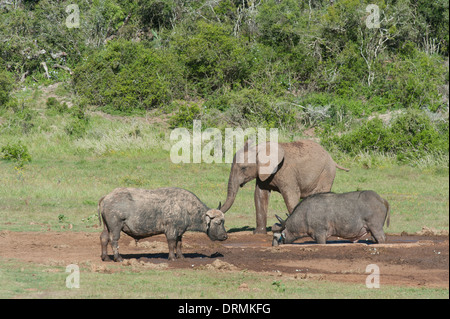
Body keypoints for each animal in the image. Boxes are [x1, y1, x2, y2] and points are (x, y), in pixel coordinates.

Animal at [97, 188, 227, 262]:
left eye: (224, 221)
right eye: (218, 222)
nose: (225, 236)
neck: (185, 207)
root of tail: (107, 197)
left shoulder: (180, 231)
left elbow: (179, 243)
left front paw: (181, 256)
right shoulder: (171, 229)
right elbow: (171, 243)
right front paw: (172, 258)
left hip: (106, 226)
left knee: (104, 238)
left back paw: (105, 257)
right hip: (115, 226)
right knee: (113, 240)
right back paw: (118, 258)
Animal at [220, 140, 350, 235]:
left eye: (243, 168)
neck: (260, 148)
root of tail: (332, 159)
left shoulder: (287, 172)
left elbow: (290, 196)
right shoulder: (263, 173)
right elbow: (260, 195)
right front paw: (258, 233)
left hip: (326, 173)